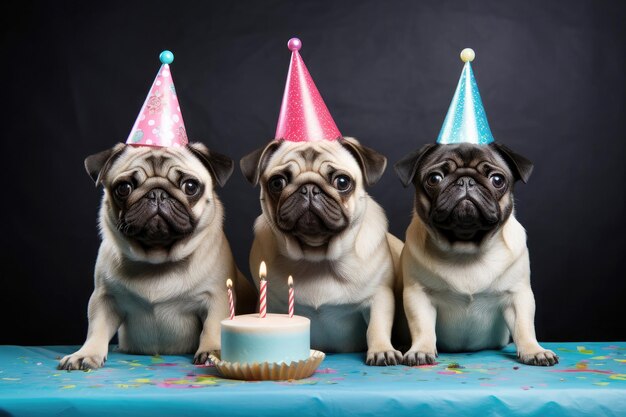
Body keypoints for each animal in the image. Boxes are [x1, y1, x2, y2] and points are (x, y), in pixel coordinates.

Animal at [57, 141, 255, 368]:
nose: (157, 193)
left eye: (190, 186)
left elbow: (212, 327)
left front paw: (211, 351)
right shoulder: (104, 298)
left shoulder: (216, 297)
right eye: (124, 188)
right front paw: (85, 353)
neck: (157, 260)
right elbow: (96, 329)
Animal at [239, 136, 404, 364]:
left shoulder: (379, 297)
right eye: (277, 183)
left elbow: (376, 327)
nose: (309, 188)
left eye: (342, 182)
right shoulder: (270, 303)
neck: (316, 257)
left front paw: (382, 350)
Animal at [394, 142, 556, 364]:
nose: (466, 180)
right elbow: (422, 327)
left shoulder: (518, 295)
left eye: (497, 180)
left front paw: (534, 350)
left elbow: (524, 326)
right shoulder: (418, 294)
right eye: (434, 178)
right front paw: (421, 349)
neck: (466, 249)